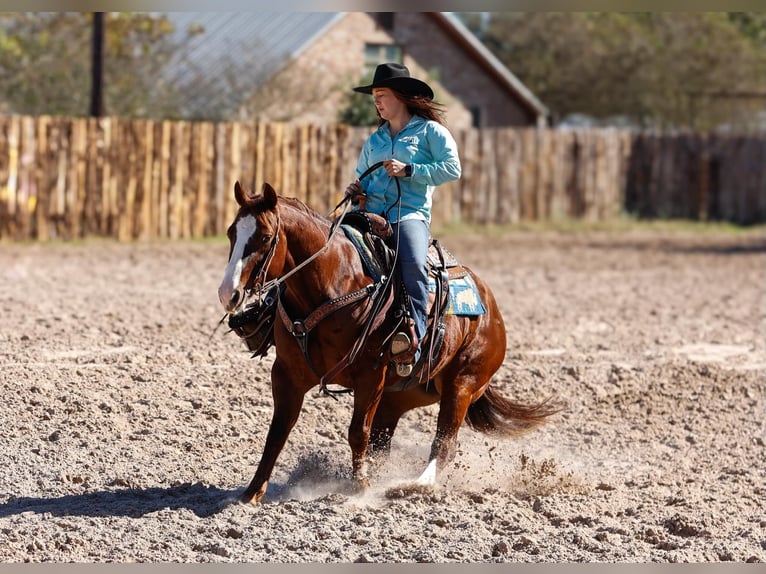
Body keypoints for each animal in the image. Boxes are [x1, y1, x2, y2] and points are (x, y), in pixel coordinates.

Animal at [217, 180, 558, 504]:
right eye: (231, 232)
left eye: (264, 237)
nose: (228, 294)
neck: (334, 283)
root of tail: (491, 307)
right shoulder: (287, 374)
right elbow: (277, 432)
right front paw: (251, 493)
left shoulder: (370, 375)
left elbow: (357, 433)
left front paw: (361, 491)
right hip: (398, 397)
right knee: (383, 445)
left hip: (463, 383)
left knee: (444, 444)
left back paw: (411, 485)